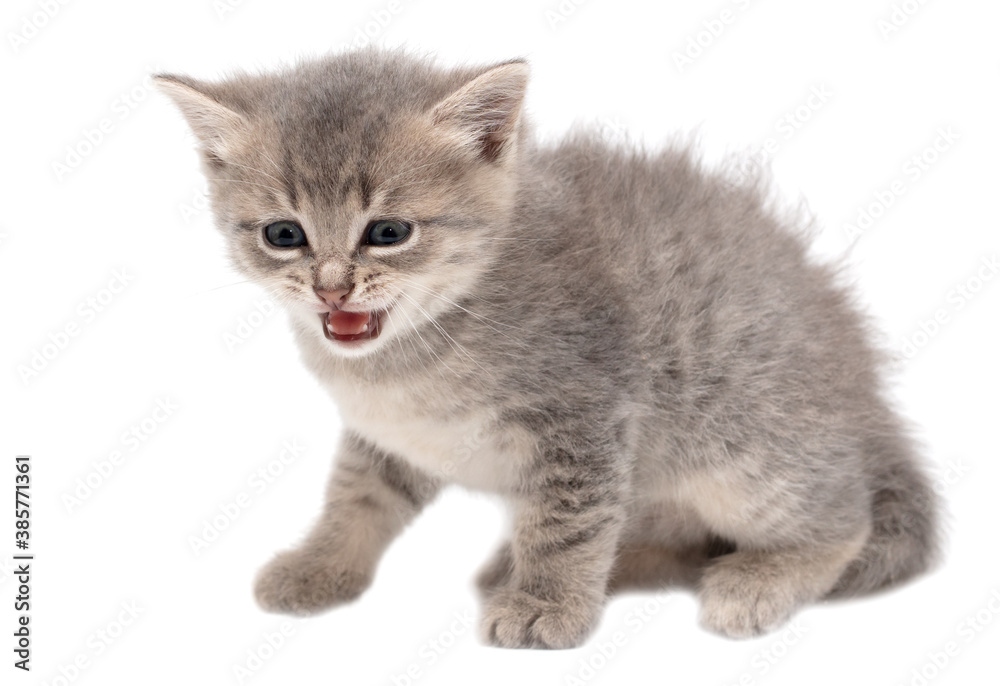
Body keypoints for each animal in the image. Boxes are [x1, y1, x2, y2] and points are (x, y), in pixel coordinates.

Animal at [156, 48, 936, 652]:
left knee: (843, 521)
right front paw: (321, 565)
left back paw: (758, 579)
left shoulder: (586, 415)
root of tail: (865, 399)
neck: (423, 344)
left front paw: (547, 603)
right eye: (284, 235)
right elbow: (356, 498)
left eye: (388, 232)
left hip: (747, 446)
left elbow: (568, 523)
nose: (331, 288)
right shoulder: (392, 436)